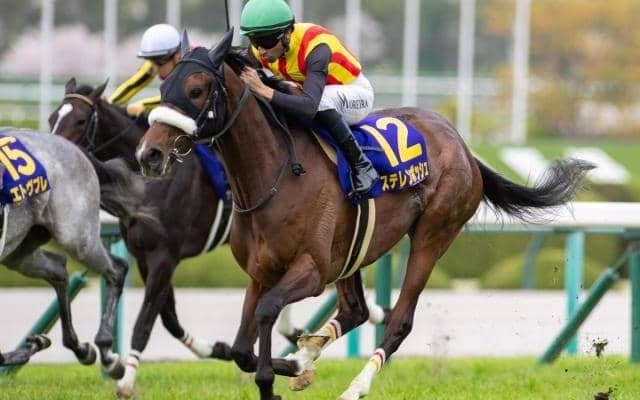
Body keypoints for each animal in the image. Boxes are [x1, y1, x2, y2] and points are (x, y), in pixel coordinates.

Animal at [0, 128, 148, 378]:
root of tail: (75, 148)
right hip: (19, 250)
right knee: (59, 268)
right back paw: (71, 347)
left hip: (77, 237)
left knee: (116, 269)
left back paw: (107, 354)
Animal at [135, 30, 593, 400]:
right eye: (164, 85)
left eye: (197, 89)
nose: (149, 154)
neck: (273, 175)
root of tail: (462, 144)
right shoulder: (262, 270)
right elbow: (241, 351)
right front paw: (295, 367)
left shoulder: (311, 270)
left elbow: (266, 314)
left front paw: (275, 380)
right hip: (352, 251)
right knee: (355, 310)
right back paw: (307, 358)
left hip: (432, 235)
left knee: (399, 321)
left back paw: (355, 387)